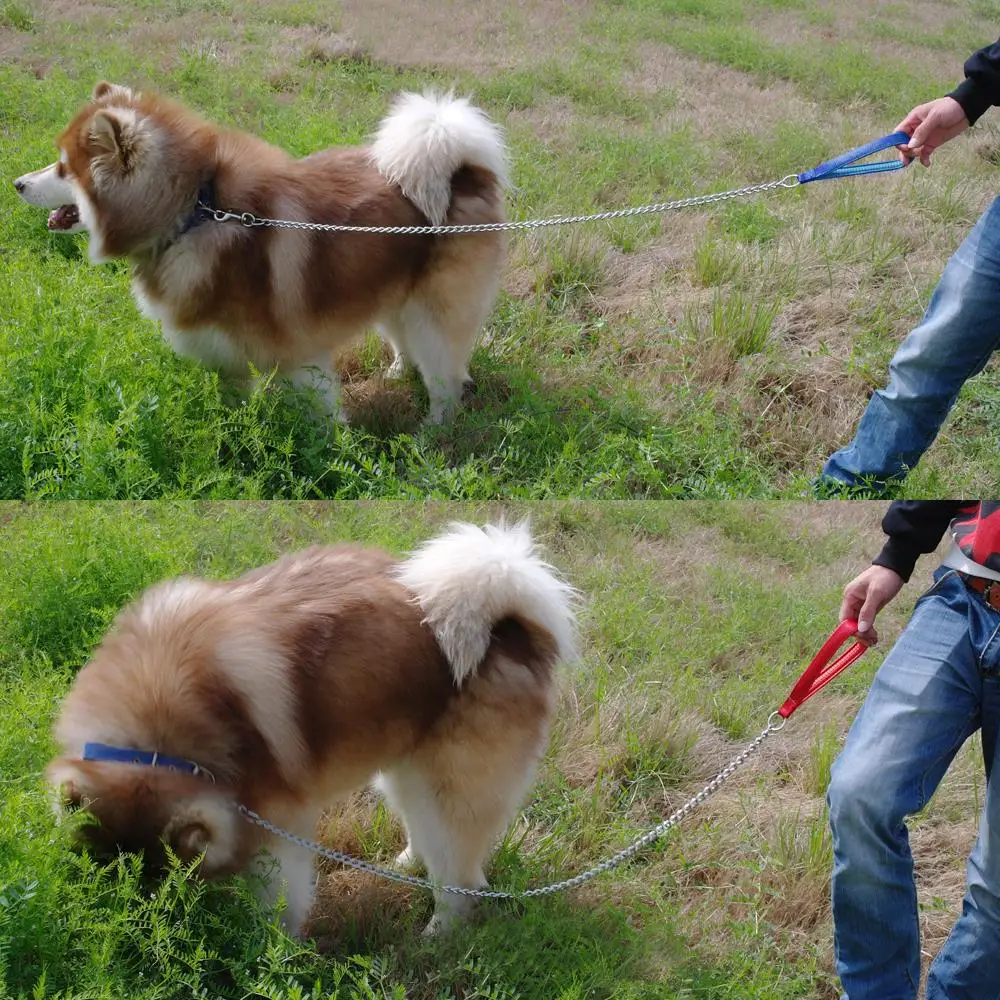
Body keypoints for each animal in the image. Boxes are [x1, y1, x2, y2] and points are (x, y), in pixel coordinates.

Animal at [15, 84, 512, 424]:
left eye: (63, 168)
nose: (17, 183)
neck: (193, 214)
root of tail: (465, 171)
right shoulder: (224, 358)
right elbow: (233, 411)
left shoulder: (300, 359)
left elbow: (323, 425)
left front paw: (334, 461)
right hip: (392, 294)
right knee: (410, 347)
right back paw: (395, 375)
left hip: (433, 314)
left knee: (446, 380)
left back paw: (432, 433)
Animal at [47, 524, 580, 936]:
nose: (137, 925)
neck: (152, 743)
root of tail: (510, 622)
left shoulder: (277, 823)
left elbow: (280, 899)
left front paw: (269, 952)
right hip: (405, 771)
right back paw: (407, 865)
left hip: (450, 787)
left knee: (462, 878)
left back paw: (437, 932)